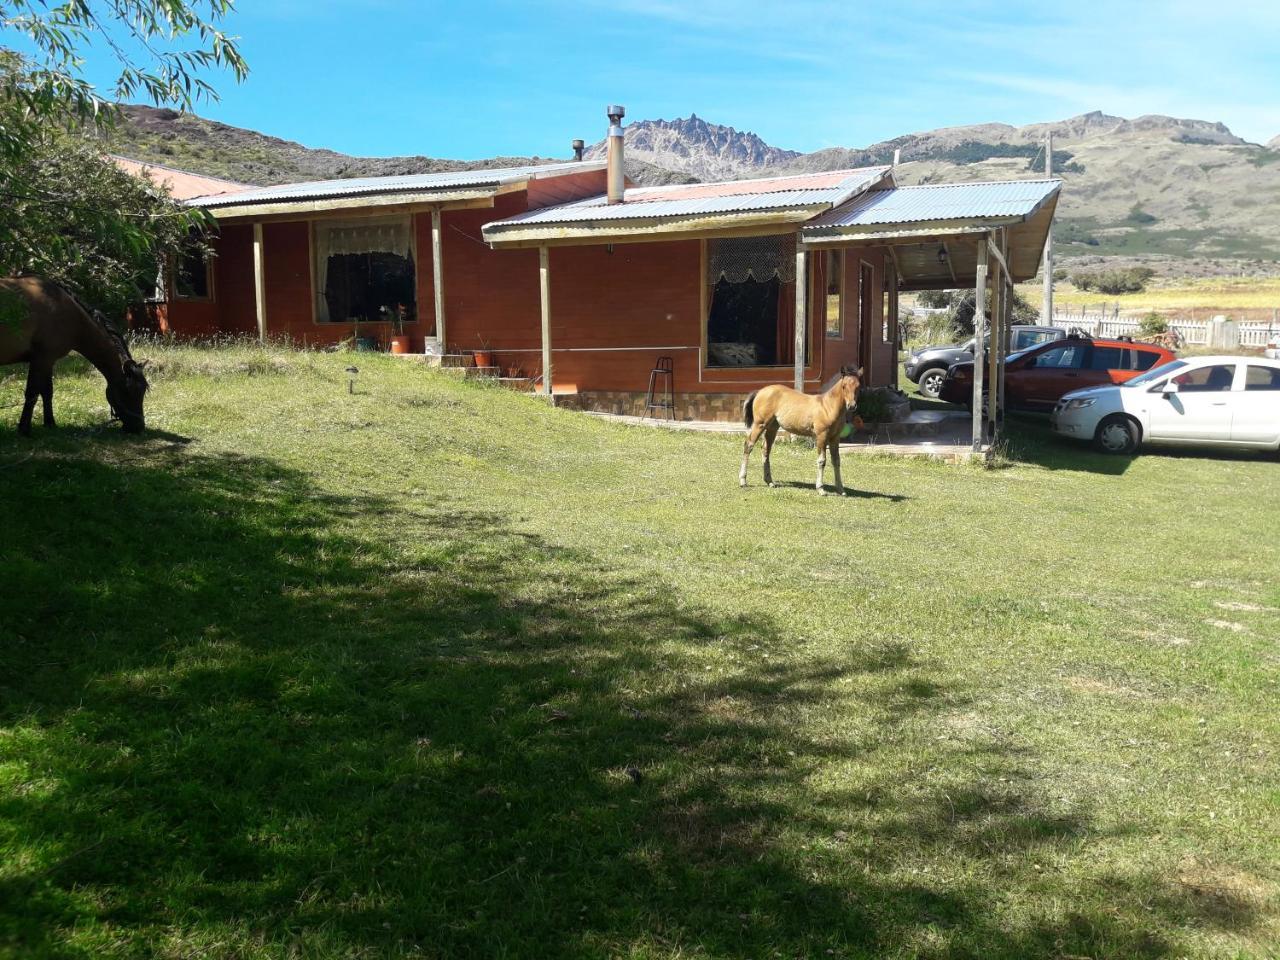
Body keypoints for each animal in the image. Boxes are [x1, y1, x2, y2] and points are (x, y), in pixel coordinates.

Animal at [0, 273, 148, 432]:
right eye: (128, 390)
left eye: (143, 391)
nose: (139, 427)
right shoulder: (40, 360)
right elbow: (32, 393)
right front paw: (24, 429)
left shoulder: (48, 361)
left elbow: (47, 392)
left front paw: (50, 423)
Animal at [737, 363, 865, 491]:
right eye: (844, 386)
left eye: (858, 386)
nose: (851, 406)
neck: (827, 406)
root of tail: (760, 391)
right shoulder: (821, 435)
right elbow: (822, 461)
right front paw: (820, 488)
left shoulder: (835, 437)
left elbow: (836, 461)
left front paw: (840, 489)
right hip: (760, 424)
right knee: (749, 445)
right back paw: (743, 481)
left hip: (772, 427)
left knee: (766, 450)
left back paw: (770, 482)